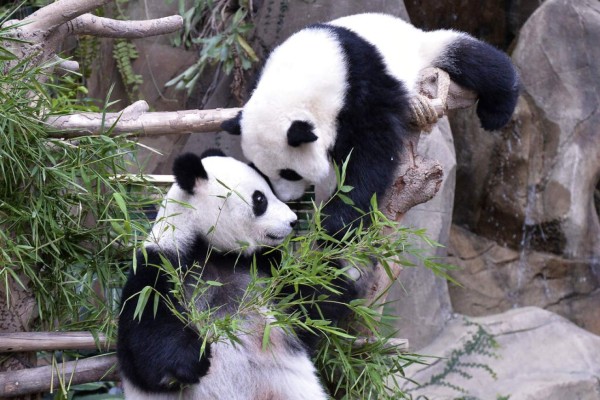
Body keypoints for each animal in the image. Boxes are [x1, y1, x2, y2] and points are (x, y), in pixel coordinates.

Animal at [116, 151, 328, 400]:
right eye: (260, 199)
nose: (293, 220)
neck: (210, 250)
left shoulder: (263, 270)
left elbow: (305, 311)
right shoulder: (161, 264)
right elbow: (145, 335)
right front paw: (192, 360)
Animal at [223, 12, 524, 238]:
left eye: (290, 173)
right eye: (260, 169)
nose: (287, 198)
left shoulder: (362, 88)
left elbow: (372, 155)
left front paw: (335, 221)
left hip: (422, 50)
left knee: (477, 60)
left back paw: (496, 111)